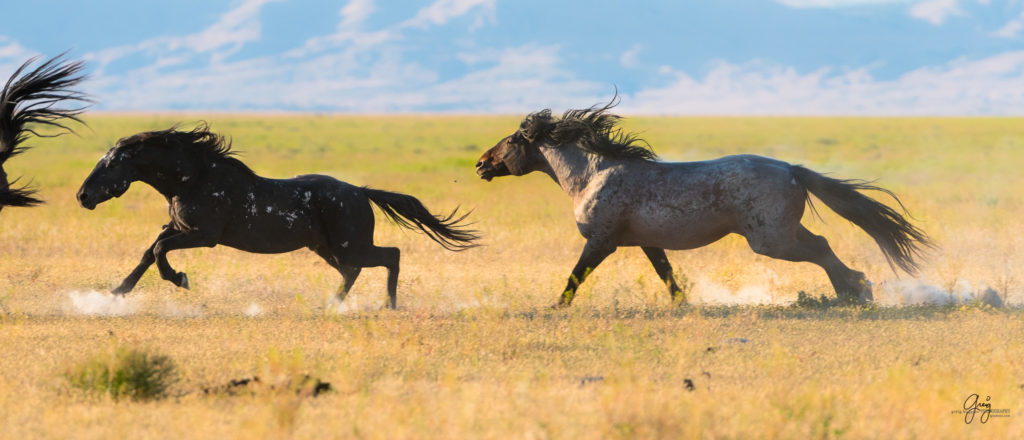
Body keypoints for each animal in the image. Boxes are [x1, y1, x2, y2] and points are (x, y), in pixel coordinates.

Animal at [77, 123, 477, 306]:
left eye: (110, 164)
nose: (83, 196)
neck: (193, 179)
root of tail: (361, 192)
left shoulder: (203, 236)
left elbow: (159, 252)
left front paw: (180, 279)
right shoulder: (176, 227)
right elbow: (150, 251)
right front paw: (118, 291)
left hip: (349, 244)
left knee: (390, 256)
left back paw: (389, 306)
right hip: (326, 248)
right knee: (353, 271)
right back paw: (332, 305)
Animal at [475, 98, 933, 306]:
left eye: (513, 140)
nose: (481, 164)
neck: (594, 174)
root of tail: (790, 169)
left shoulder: (601, 241)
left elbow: (576, 276)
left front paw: (556, 306)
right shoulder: (647, 242)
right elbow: (666, 274)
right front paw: (682, 304)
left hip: (771, 240)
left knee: (820, 249)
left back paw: (853, 292)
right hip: (781, 231)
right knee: (822, 246)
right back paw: (855, 289)